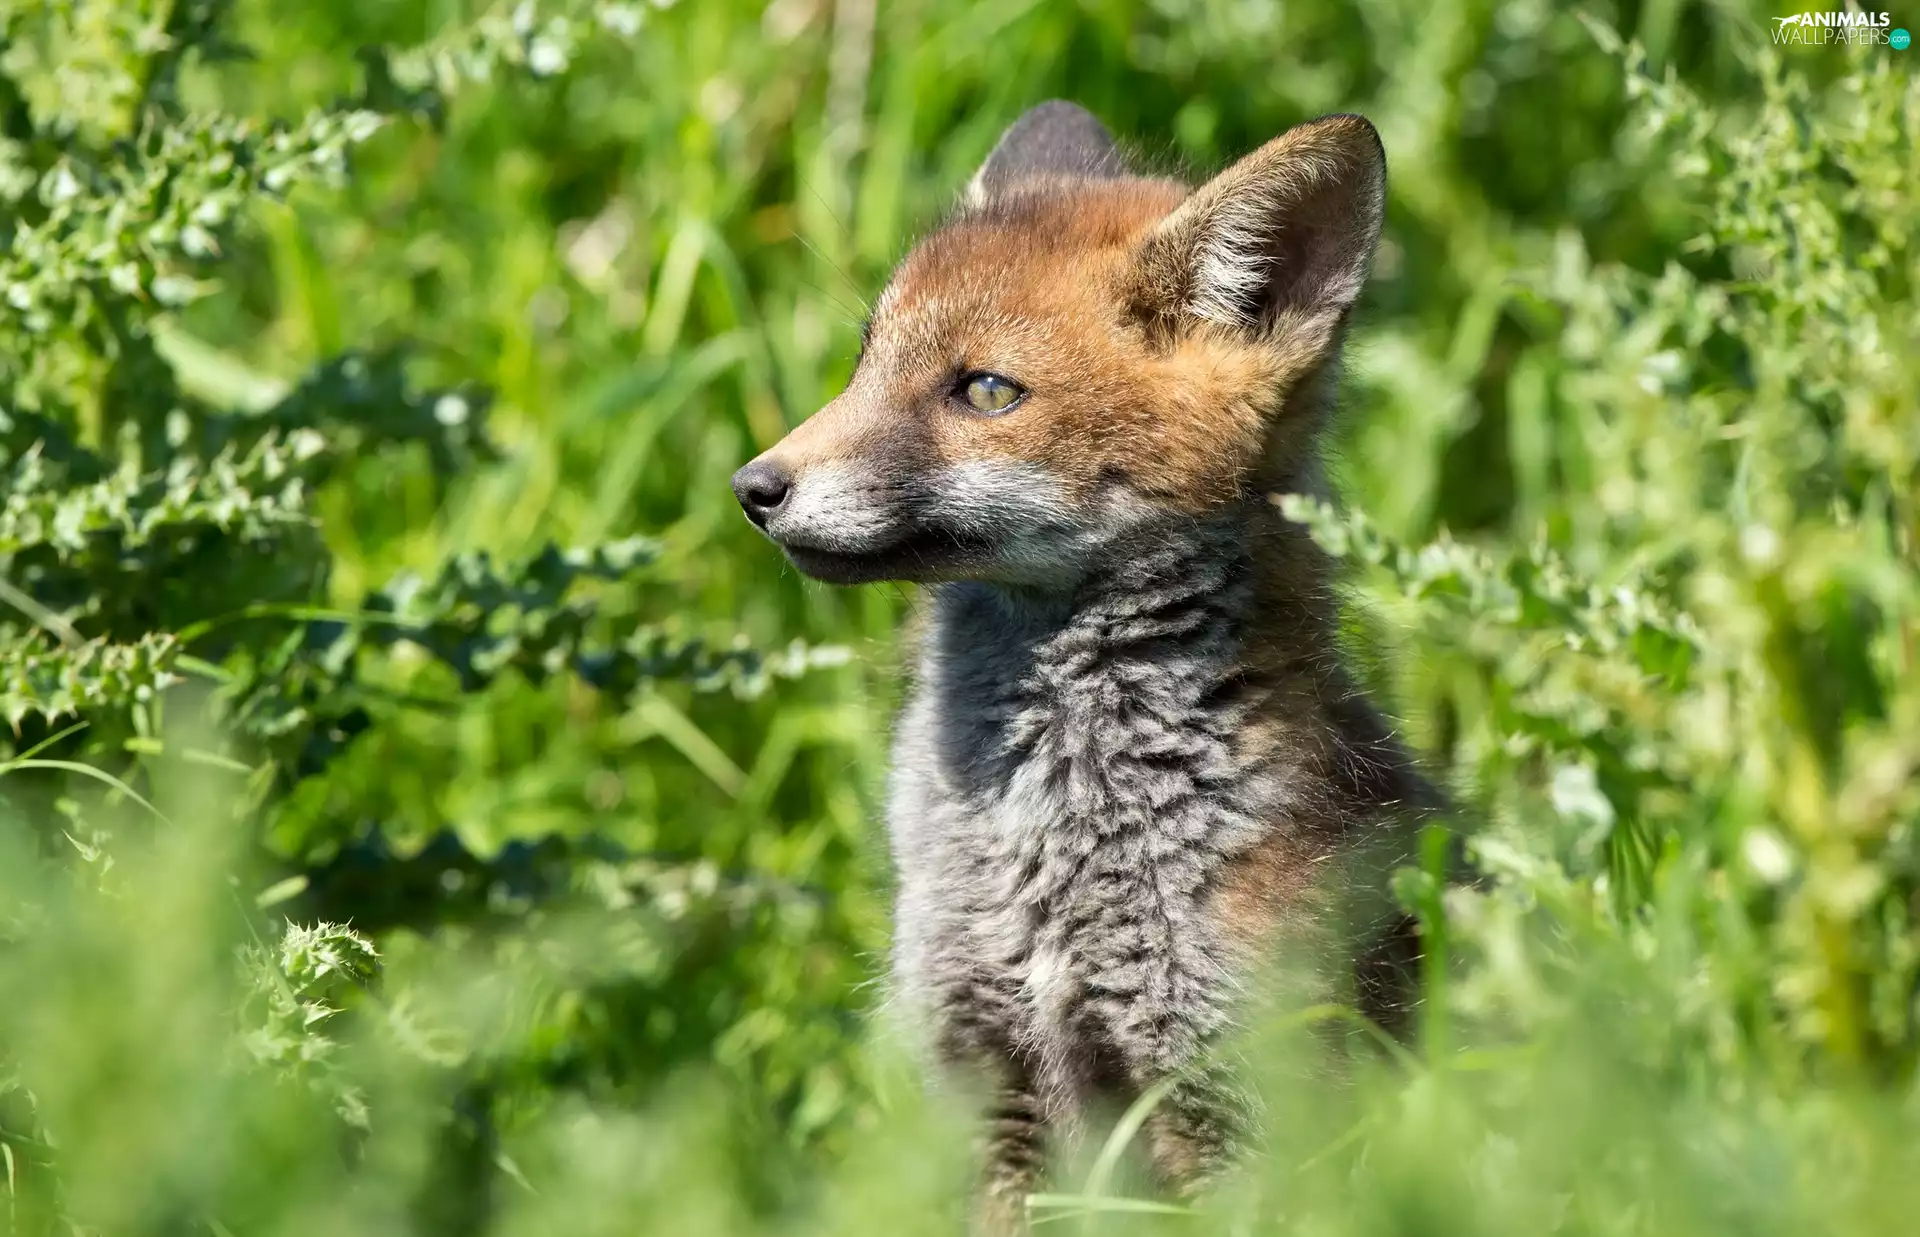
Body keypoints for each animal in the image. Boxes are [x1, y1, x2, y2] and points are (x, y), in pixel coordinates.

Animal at [732, 102, 1437, 1231]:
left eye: (985, 389)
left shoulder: (1244, 1099)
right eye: (865, 360)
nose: (754, 487)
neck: (1048, 844)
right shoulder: (990, 1078)